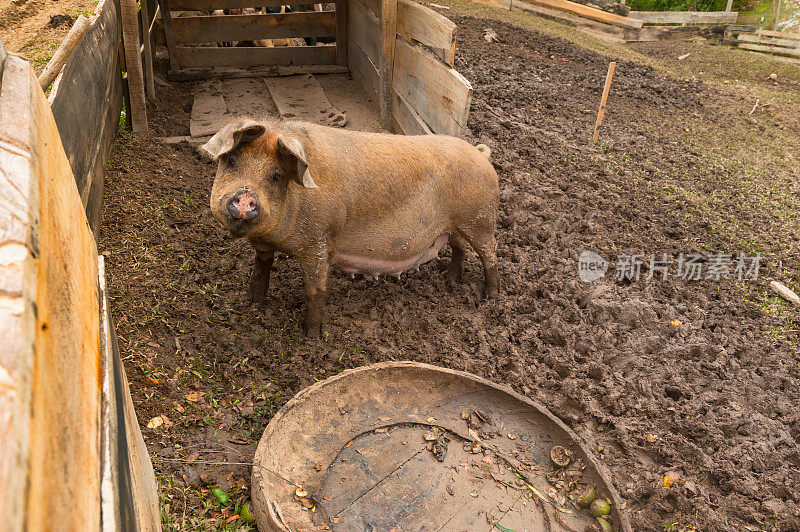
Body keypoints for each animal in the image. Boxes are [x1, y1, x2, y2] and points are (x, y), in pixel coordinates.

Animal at [202, 117, 500, 336]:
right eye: (231, 161)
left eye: (276, 175)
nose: (245, 195)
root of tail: (480, 154)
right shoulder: (263, 243)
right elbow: (261, 268)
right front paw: (253, 304)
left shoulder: (319, 244)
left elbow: (315, 290)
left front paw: (312, 337)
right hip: (457, 225)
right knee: (460, 248)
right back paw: (452, 281)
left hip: (481, 220)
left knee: (491, 256)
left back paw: (489, 297)